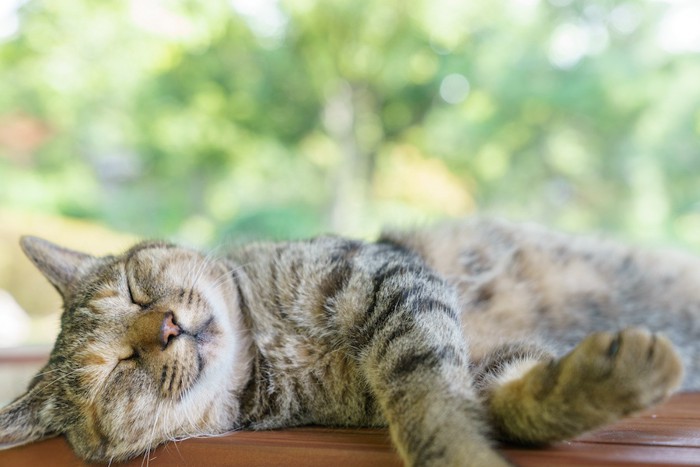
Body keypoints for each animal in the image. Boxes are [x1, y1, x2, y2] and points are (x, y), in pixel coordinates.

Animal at [0, 218, 696, 466]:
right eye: (116, 370)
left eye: (136, 288)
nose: (168, 324)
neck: (269, 345)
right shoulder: (472, 365)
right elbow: (477, 404)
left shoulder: (389, 278)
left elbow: (427, 396)